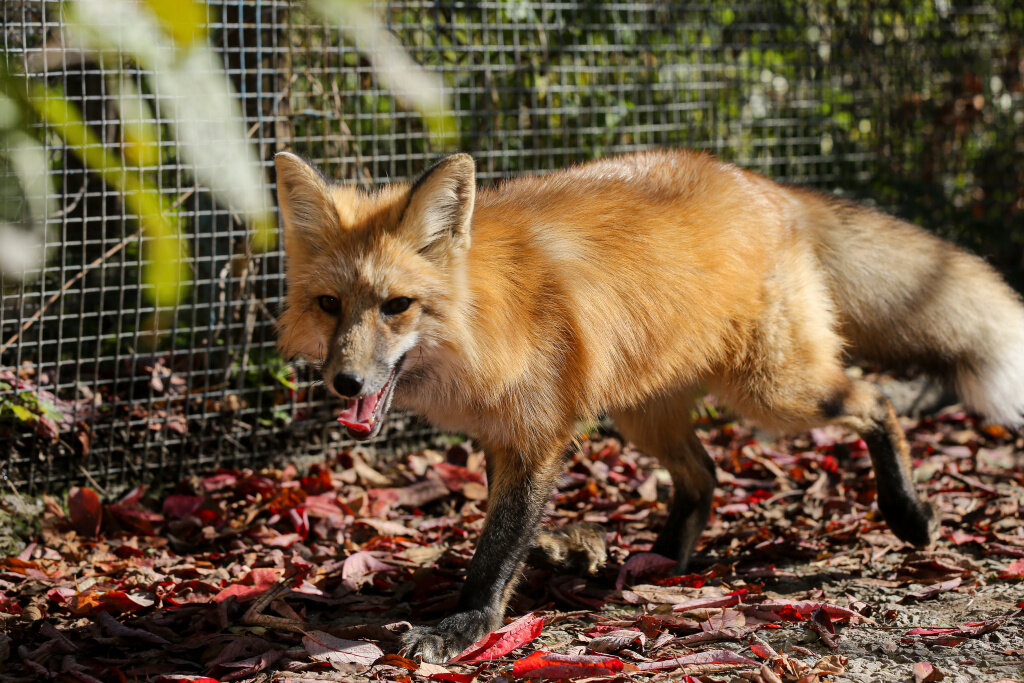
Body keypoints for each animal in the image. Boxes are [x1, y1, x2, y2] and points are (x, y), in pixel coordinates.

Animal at [272, 149, 1024, 663]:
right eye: (330, 305)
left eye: (396, 305)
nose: (345, 382)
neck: (486, 311)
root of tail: (761, 183)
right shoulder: (505, 435)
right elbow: (505, 531)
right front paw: (550, 560)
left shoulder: (539, 433)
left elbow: (496, 550)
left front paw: (464, 627)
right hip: (646, 413)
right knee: (706, 476)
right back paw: (657, 563)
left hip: (774, 393)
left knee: (877, 401)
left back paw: (909, 515)